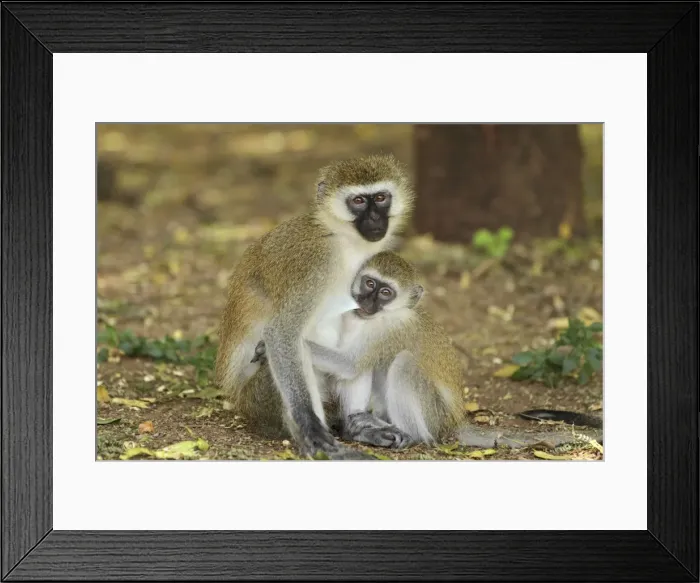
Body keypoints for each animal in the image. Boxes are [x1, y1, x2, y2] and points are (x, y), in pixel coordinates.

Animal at [214, 154, 415, 459]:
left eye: (381, 197)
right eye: (358, 201)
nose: (374, 218)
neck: (342, 239)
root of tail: (238, 400)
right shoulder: (314, 263)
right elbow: (281, 333)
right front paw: (310, 426)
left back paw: (355, 427)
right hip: (256, 399)